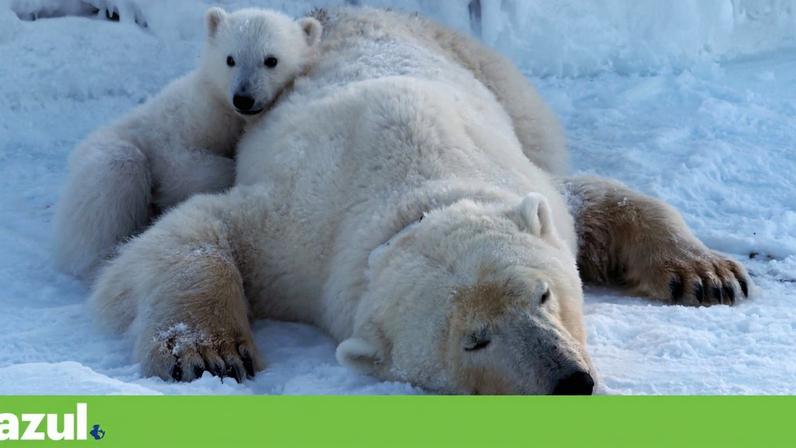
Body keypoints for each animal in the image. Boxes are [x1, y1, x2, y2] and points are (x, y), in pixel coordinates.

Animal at [52, 7, 322, 281]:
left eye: (271, 60)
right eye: (230, 59)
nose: (243, 98)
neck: (225, 110)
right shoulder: (184, 124)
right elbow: (181, 166)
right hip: (104, 155)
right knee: (114, 175)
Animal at [89, 7, 750, 393]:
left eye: (542, 294)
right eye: (473, 340)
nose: (570, 381)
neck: (416, 187)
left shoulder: (518, 176)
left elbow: (592, 201)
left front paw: (709, 275)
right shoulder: (300, 233)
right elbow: (194, 232)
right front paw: (211, 354)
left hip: (497, 77)